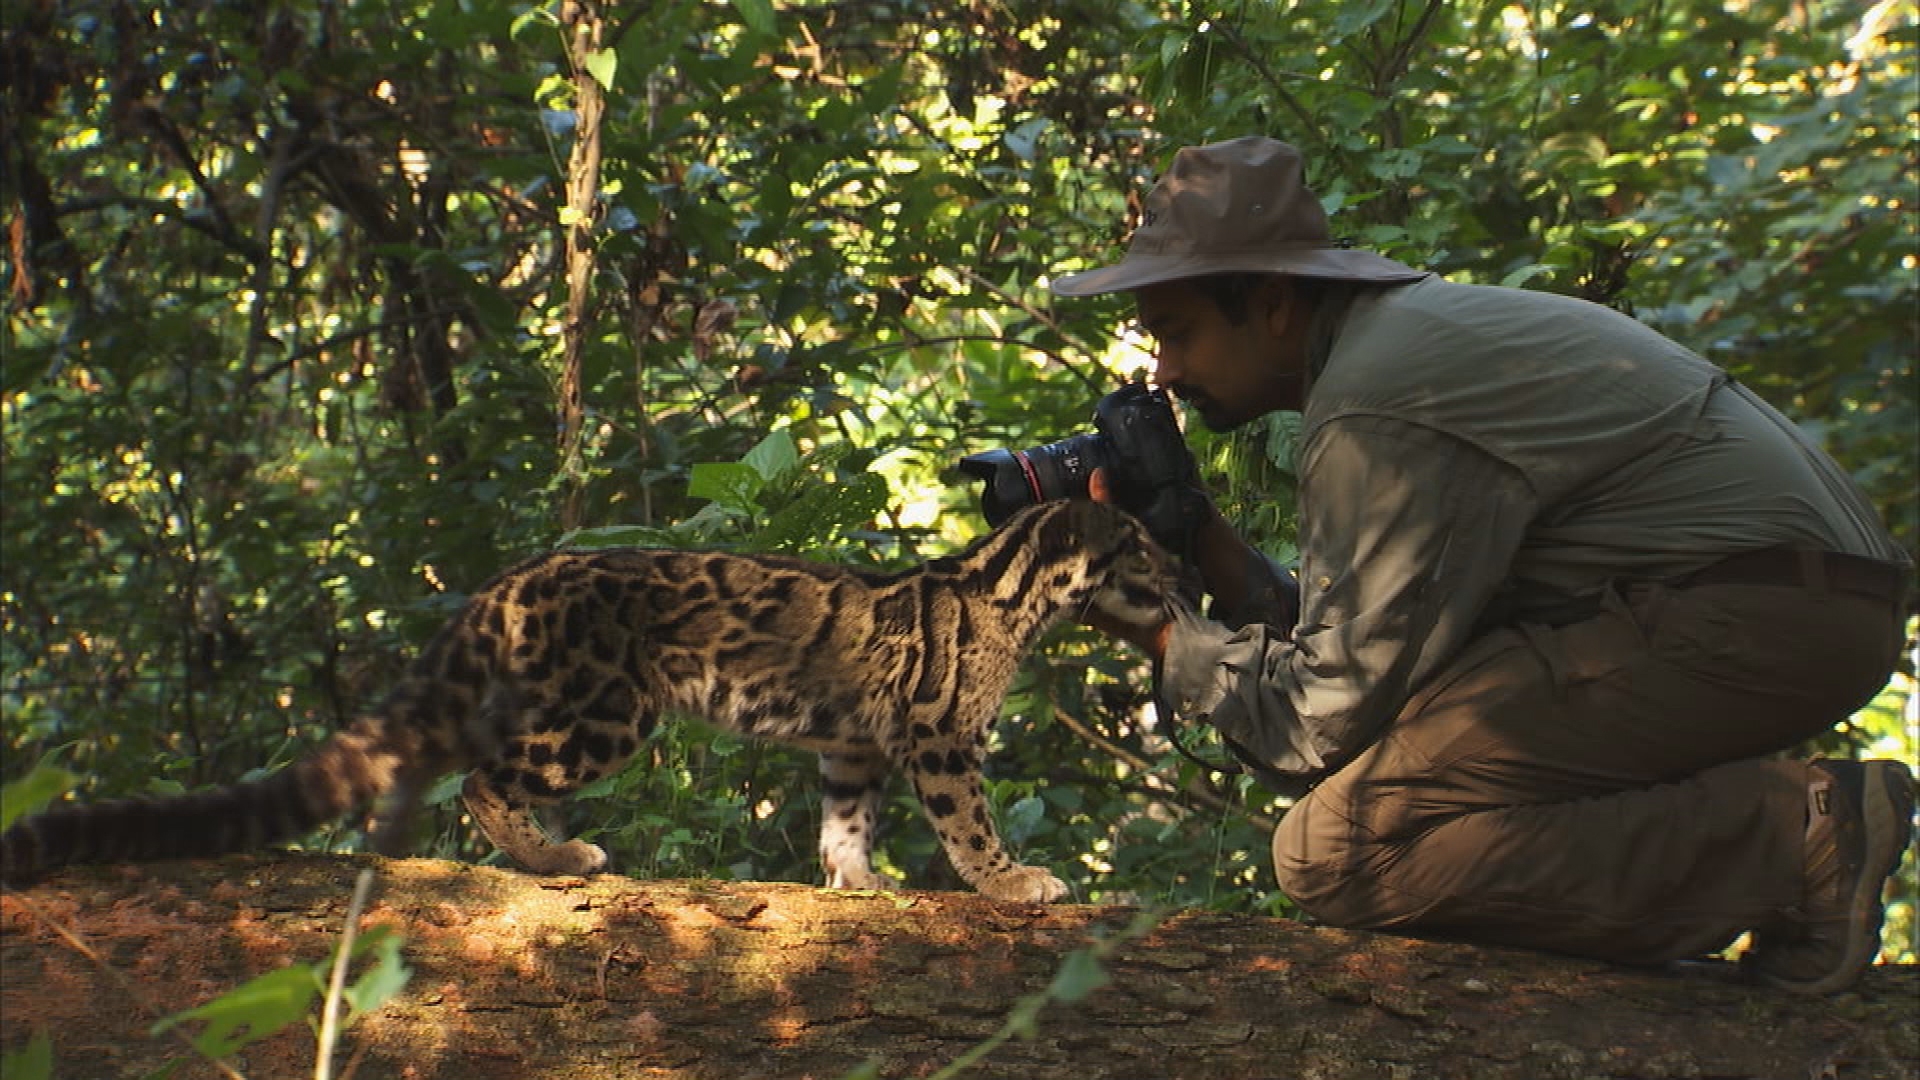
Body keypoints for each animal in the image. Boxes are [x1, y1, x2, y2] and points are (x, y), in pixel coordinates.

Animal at [3, 499, 1167, 899]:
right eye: (1141, 550)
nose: (1176, 579)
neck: (1011, 590)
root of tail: (513, 577)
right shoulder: (938, 737)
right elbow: (969, 823)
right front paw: (1013, 883)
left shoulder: (858, 745)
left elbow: (843, 821)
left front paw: (858, 883)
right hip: (605, 710)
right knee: (485, 781)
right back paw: (557, 857)